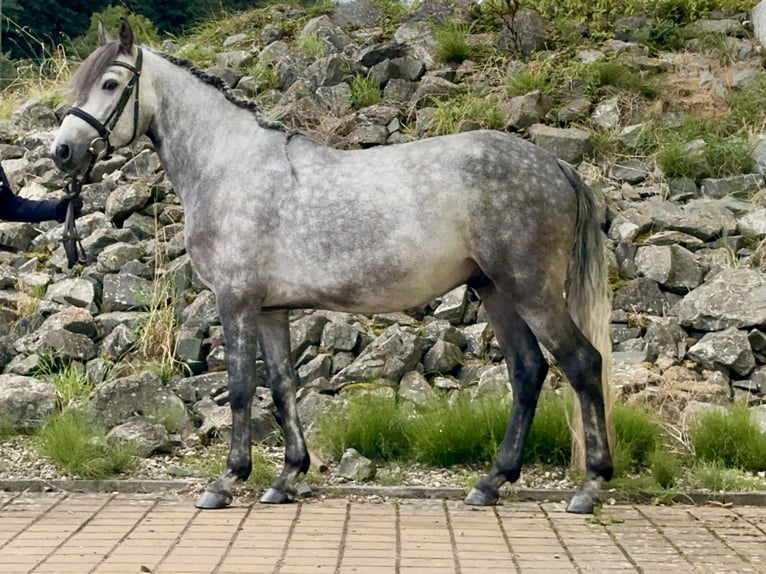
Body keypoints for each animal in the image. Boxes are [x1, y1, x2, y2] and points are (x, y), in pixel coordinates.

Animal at [51, 21, 616, 516]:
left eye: (110, 83)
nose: (62, 151)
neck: (229, 166)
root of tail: (555, 165)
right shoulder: (270, 310)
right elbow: (282, 389)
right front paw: (286, 479)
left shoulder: (235, 301)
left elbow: (241, 388)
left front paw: (227, 481)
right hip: (495, 290)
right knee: (527, 370)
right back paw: (491, 482)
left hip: (530, 290)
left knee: (581, 364)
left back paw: (589, 488)